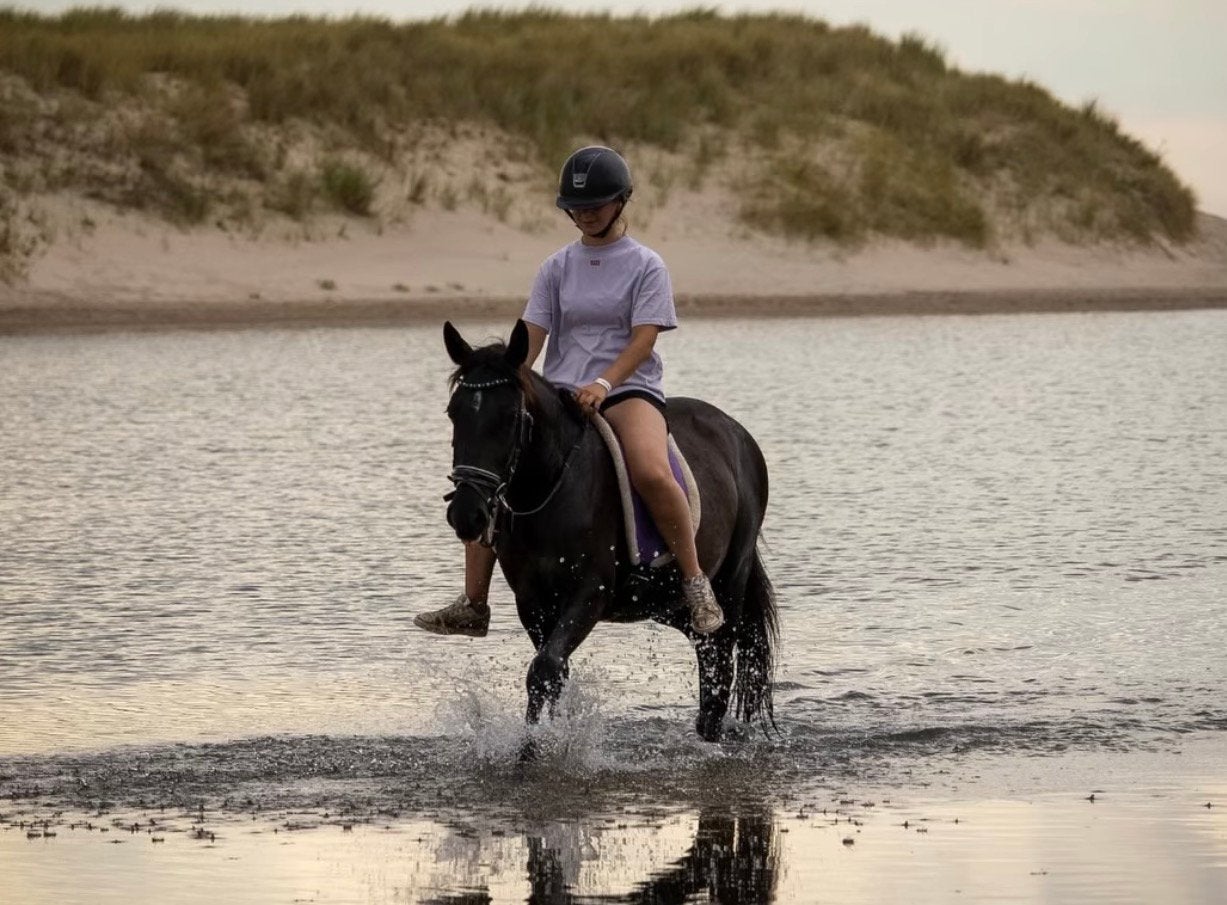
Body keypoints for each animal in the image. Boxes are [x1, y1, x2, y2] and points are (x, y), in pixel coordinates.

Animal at [442, 319, 777, 744]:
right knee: (708, 656)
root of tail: (737, 433)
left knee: (718, 663)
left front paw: (532, 749)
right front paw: (549, 739)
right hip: (666, 602)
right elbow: (554, 671)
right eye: (453, 413)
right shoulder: (532, 602)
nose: (466, 515)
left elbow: (543, 669)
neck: (551, 489)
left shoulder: (590, 593)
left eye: (509, 417)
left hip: (730, 581)